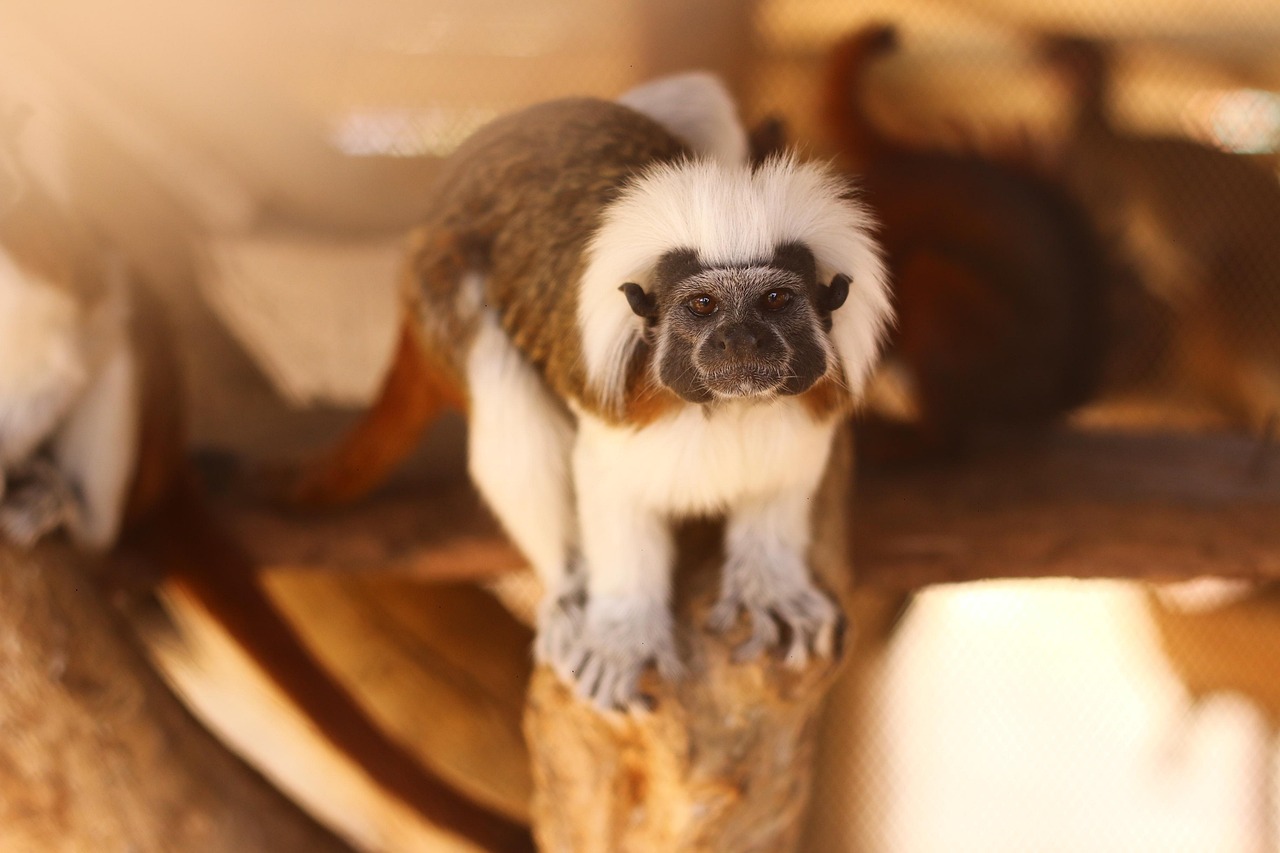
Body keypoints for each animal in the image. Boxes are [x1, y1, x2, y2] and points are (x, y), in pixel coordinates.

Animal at [286, 90, 893, 710]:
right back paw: (567, 584)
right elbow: (608, 491)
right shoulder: (619, 408)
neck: (729, 407)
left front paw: (769, 584)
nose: (739, 341)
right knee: (499, 386)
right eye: (702, 305)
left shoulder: (811, 405)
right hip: (439, 281)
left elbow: (782, 484)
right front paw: (624, 632)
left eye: (774, 300)